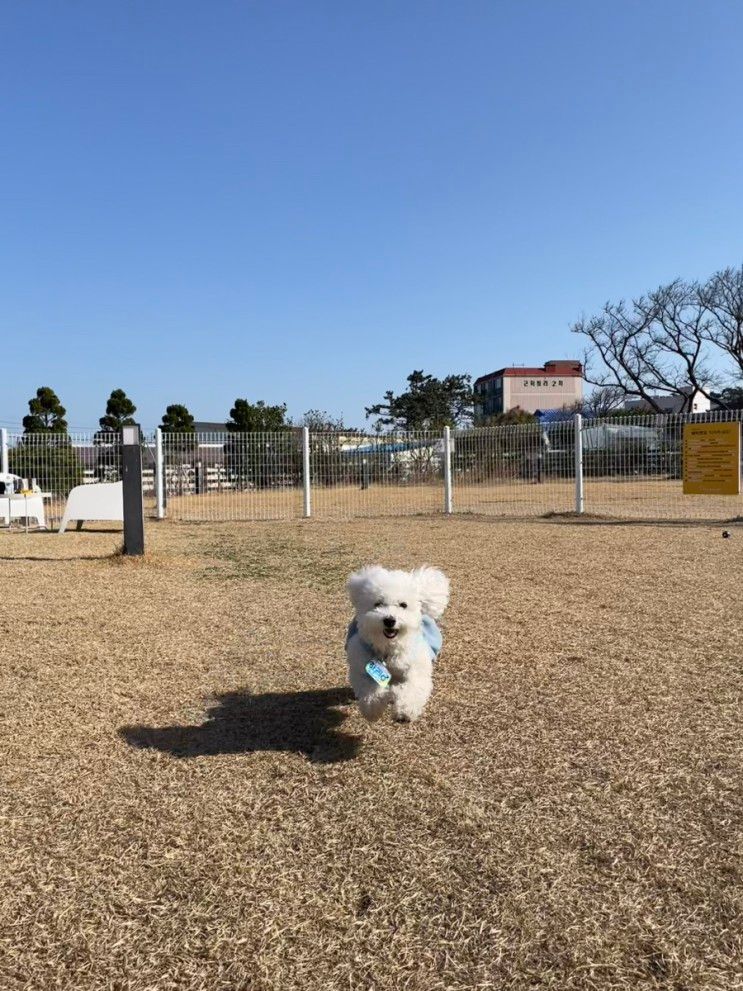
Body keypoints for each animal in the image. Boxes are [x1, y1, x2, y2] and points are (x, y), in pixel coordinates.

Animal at [346, 564, 450, 720]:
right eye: (378, 603)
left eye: (403, 605)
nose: (389, 620)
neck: (388, 650)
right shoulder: (361, 668)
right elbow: (369, 689)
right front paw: (373, 709)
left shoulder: (416, 667)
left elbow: (413, 687)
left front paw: (405, 710)